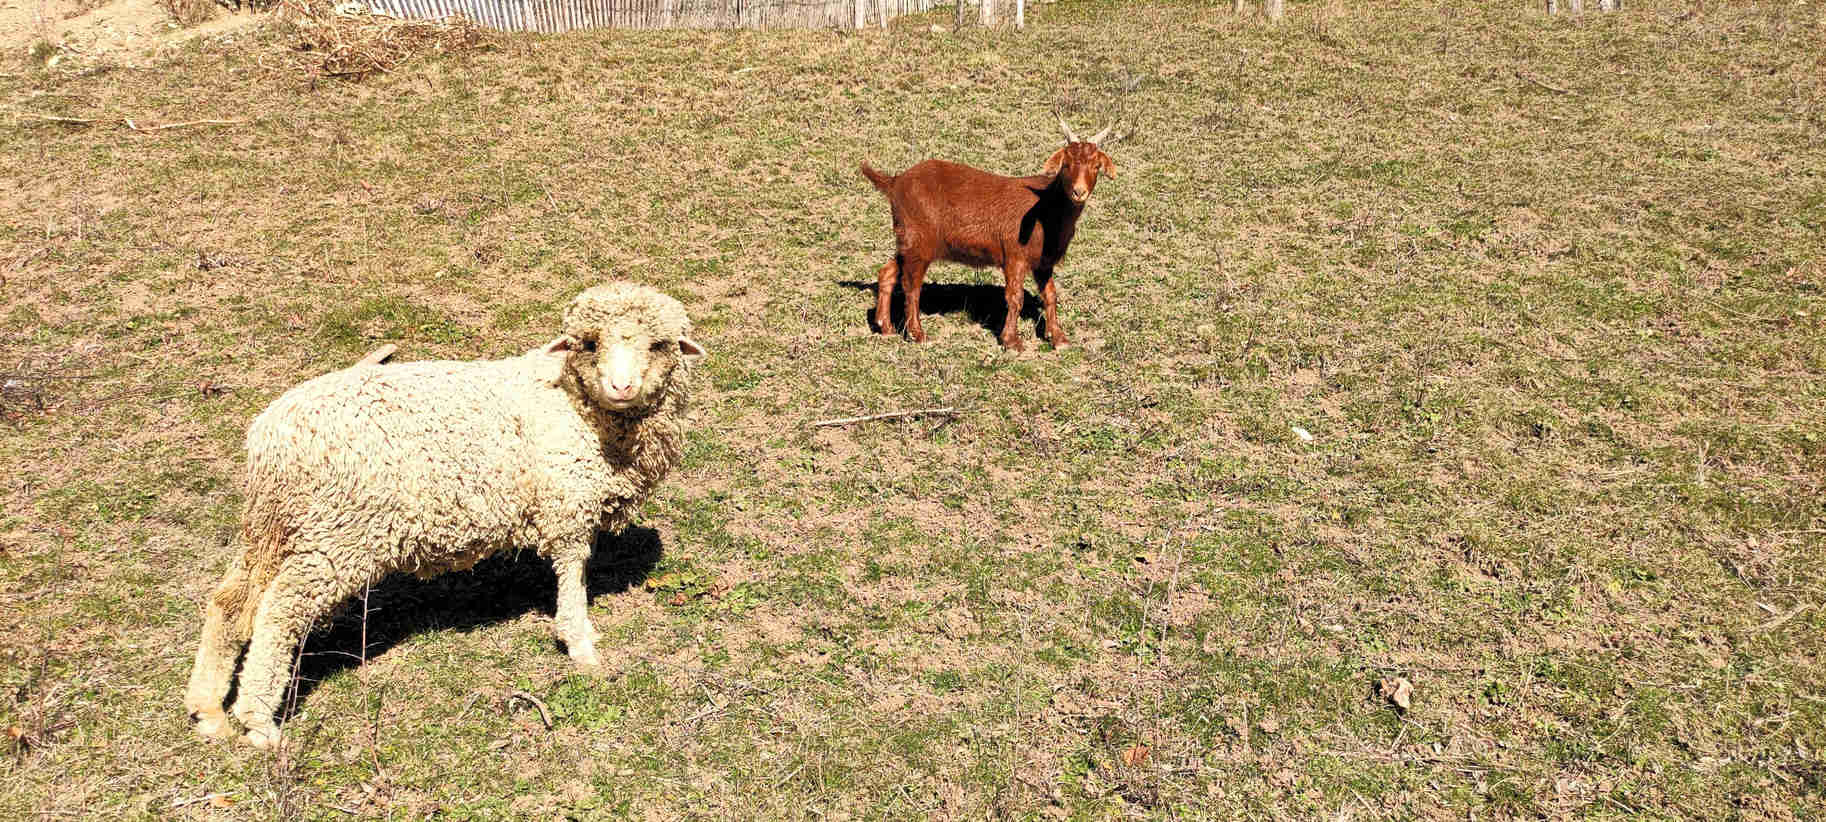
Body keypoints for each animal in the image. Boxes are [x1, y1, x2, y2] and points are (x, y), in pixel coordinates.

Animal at [179, 283, 704, 752]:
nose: (621, 386)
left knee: (232, 603)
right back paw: (257, 721)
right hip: (338, 533)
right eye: (590, 344)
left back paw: (208, 710)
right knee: (279, 611)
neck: (576, 407)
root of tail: (270, 436)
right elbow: (572, 578)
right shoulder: (567, 508)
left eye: (658, 345)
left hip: (275, 527)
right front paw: (581, 645)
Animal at [861, 114, 1117, 350]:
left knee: (888, 273)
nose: (1079, 192)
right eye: (1066, 165)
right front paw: (1012, 341)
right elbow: (1015, 297)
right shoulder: (1014, 255)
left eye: (1096, 166)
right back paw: (918, 334)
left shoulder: (1044, 262)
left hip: (907, 239)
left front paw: (1059, 338)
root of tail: (895, 182)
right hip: (919, 240)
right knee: (912, 285)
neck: (1046, 208)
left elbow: (1050, 296)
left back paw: (885, 327)